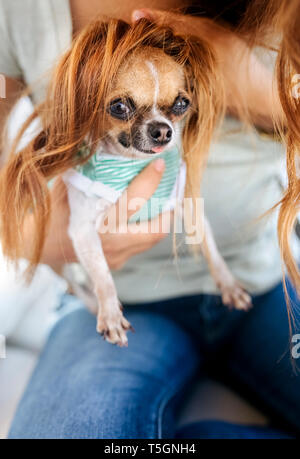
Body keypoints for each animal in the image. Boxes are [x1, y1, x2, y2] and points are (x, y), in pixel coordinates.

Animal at [0, 19, 251, 346]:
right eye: (119, 107)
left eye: (182, 103)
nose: (163, 130)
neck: (131, 163)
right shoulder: (82, 232)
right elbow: (103, 276)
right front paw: (110, 314)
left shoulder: (190, 207)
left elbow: (211, 249)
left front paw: (228, 284)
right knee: (74, 282)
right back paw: (92, 304)